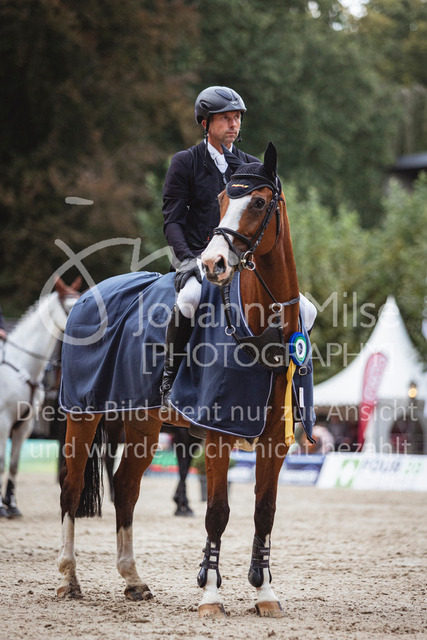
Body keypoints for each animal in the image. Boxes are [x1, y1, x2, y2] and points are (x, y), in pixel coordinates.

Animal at [0, 277, 81, 517]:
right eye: (70, 306)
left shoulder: (24, 425)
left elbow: (14, 464)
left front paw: (12, 505)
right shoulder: (4, 422)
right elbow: (2, 462)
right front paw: (1, 506)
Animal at [57, 143, 307, 617]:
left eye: (259, 202)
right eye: (223, 200)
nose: (212, 263)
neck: (261, 329)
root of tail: (89, 295)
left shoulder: (274, 442)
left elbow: (264, 512)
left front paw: (265, 594)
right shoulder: (218, 434)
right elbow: (217, 513)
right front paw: (210, 595)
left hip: (141, 423)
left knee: (126, 488)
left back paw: (133, 580)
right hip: (82, 416)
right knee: (71, 489)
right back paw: (67, 579)